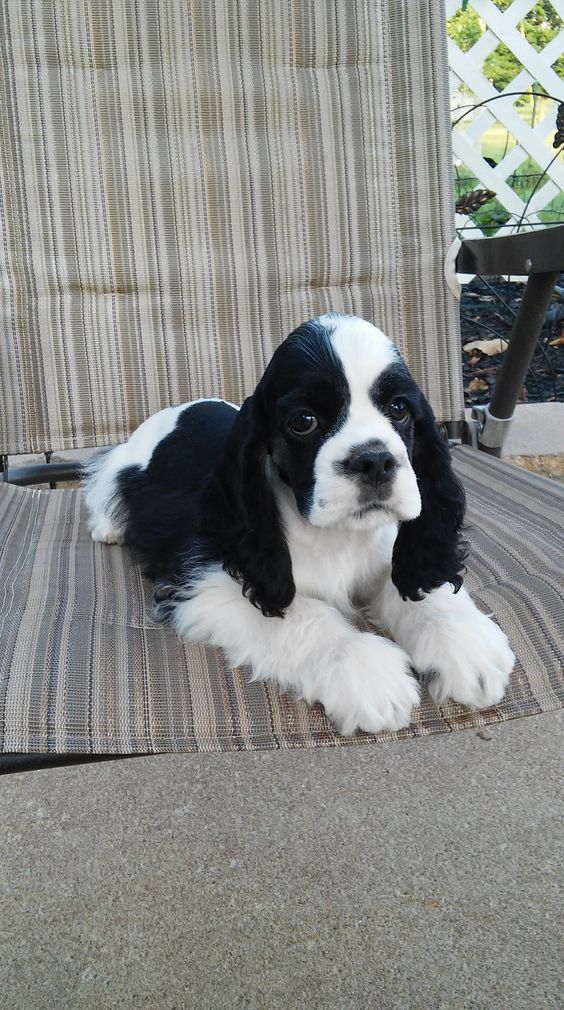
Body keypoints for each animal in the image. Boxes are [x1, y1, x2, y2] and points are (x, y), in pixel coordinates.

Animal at [84, 313, 517, 735]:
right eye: (303, 421)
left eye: (399, 409)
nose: (374, 461)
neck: (336, 537)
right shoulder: (209, 581)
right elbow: (308, 615)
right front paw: (367, 672)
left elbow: (421, 588)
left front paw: (465, 647)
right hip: (123, 465)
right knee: (103, 488)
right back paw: (108, 528)